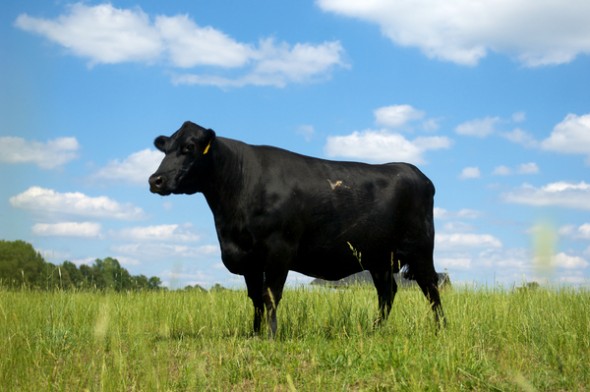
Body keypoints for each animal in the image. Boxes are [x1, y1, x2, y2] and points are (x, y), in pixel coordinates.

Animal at [150, 121, 446, 336]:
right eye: (165, 150)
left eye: (189, 146)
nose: (156, 179)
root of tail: (415, 172)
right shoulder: (249, 258)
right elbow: (255, 298)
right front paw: (254, 334)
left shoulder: (279, 250)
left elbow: (270, 295)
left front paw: (271, 336)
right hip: (379, 258)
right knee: (387, 292)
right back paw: (375, 331)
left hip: (420, 249)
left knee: (431, 288)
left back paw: (440, 329)